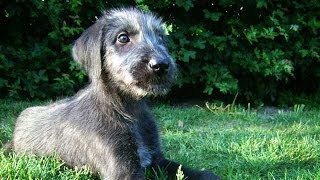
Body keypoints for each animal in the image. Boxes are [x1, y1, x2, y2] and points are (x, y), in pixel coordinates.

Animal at [10, 7, 220, 179]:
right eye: (123, 37)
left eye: (161, 38)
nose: (161, 65)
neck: (127, 108)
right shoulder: (124, 169)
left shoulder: (157, 160)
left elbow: (188, 171)